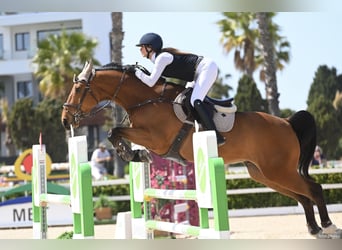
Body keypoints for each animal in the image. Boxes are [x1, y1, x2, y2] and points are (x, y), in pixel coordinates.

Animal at [62, 60, 342, 238]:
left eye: (79, 88)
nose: (65, 120)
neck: (146, 100)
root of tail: (286, 122)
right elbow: (115, 133)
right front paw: (134, 154)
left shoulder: (157, 139)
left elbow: (115, 132)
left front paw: (132, 153)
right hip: (263, 174)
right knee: (303, 196)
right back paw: (314, 229)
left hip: (279, 171)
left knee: (313, 189)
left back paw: (328, 226)